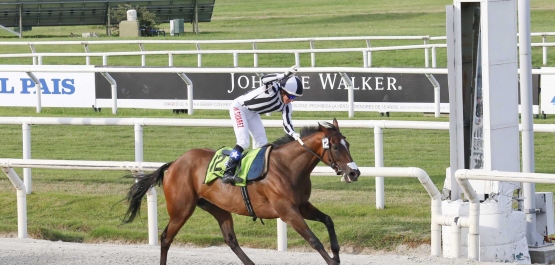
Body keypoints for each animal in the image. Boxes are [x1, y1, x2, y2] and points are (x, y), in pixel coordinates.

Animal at [122, 118, 360, 264]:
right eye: (336, 147)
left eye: (348, 144)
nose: (354, 172)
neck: (288, 166)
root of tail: (173, 163)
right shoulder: (287, 211)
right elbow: (313, 240)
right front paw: (332, 259)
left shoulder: (302, 205)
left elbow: (328, 220)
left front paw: (337, 255)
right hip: (181, 209)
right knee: (165, 238)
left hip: (218, 207)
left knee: (231, 239)